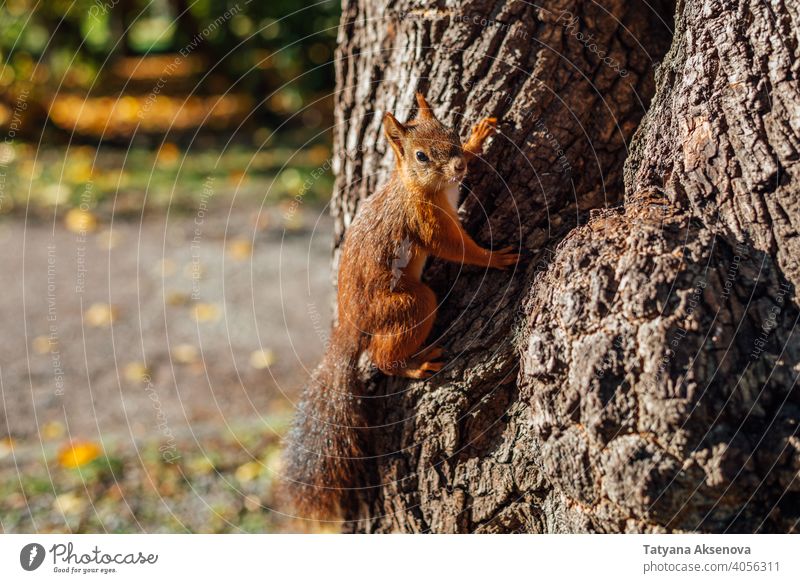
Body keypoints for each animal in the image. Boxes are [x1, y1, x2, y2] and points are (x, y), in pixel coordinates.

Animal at [282, 93, 520, 524]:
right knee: (382, 354)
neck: (422, 186)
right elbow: (456, 249)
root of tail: (349, 324)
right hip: (408, 303)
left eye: (451, 133)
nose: (458, 167)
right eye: (421, 156)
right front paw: (495, 258)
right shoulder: (426, 223)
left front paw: (477, 139)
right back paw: (414, 364)